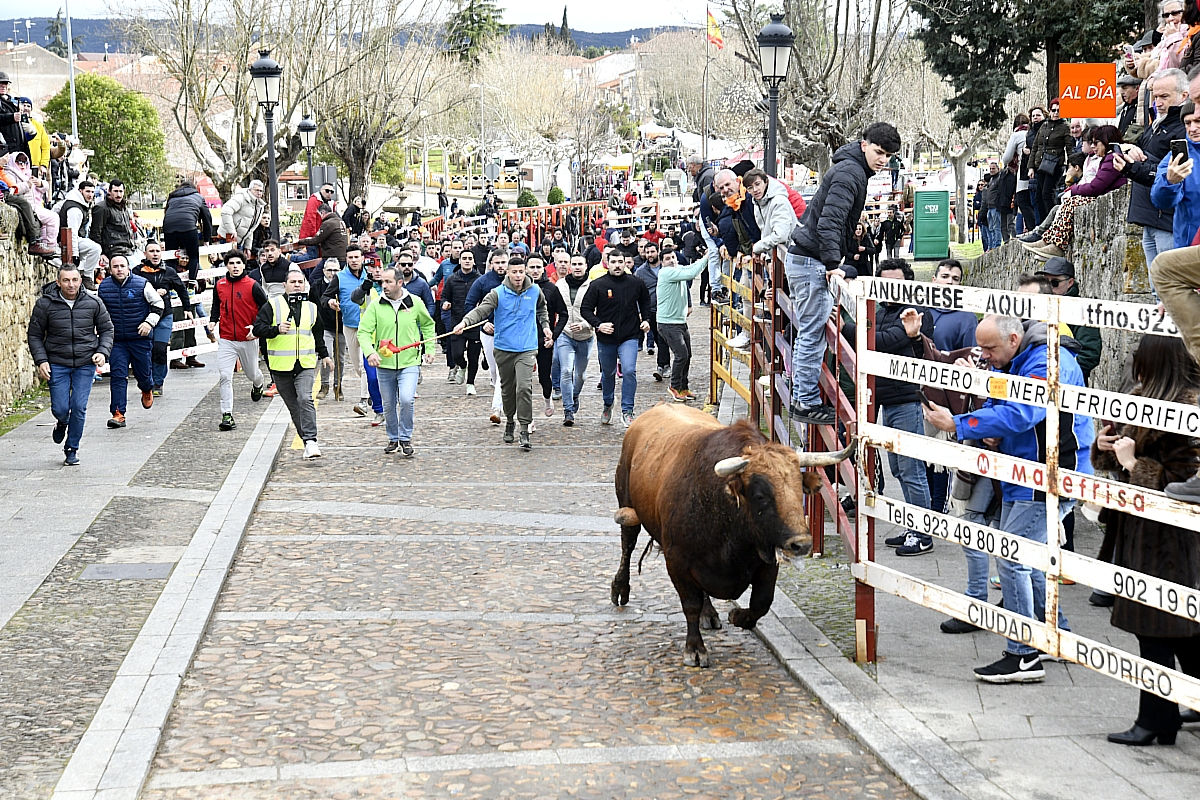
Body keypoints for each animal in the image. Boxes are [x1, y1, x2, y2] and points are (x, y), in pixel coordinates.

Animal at [611, 404, 854, 667]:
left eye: (799, 491)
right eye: (760, 495)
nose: (800, 544)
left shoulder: (767, 561)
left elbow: (761, 602)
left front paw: (738, 616)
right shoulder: (677, 562)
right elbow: (691, 605)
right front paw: (695, 648)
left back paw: (709, 613)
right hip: (626, 503)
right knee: (627, 544)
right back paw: (620, 588)